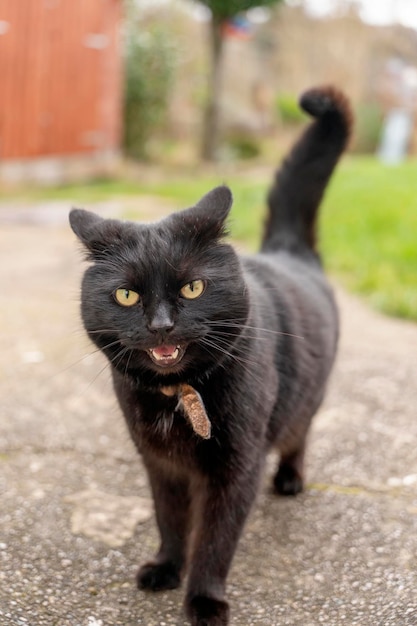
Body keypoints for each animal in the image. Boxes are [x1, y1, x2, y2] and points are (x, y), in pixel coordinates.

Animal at [69, 84, 352, 624]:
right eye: (126, 295)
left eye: (193, 287)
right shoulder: (160, 465)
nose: (161, 324)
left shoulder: (236, 467)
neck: (177, 398)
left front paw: (204, 599)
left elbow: (216, 540)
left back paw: (290, 479)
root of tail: (288, 250)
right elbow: (172, 522)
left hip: (309, 396)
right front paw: (165, 568)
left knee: (300, 433)